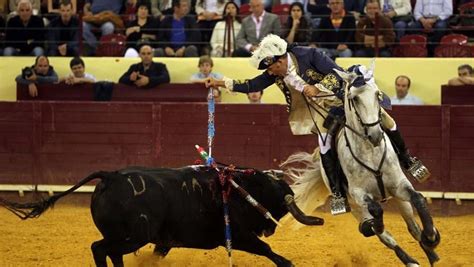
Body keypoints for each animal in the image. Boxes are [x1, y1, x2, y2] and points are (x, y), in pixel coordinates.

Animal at [0, 166, 324, 266]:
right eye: (277, 196)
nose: (270, 226)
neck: (239, 188)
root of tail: (111, 176)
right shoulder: (238, 235)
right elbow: (266, 249)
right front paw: (287, 262)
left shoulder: (164, 241)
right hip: (133, 235)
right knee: (99, 249)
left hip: (127, 236)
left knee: (109, 251)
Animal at [282, 62, 440, 266]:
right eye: (354, 98)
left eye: (377, 94)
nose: (375, 135)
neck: (370, 152)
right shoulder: (358, 194)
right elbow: (377, 214)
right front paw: (375, 225)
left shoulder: (399, 185)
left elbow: (419, 199)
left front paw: (431, 237)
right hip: (354, 205)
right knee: (385, 236)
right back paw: (407, 258)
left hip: (398, 198)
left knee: (412, 226)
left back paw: (430, 252)